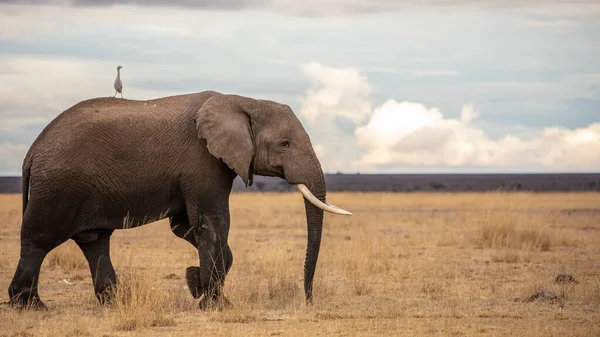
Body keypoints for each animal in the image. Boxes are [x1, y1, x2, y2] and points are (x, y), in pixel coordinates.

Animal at [7, 90, 352, 310]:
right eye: (284, 144)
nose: (308, 299)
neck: (242, 100)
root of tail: (31, 151)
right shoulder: (203, 160)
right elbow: (212, 224)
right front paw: (215, 303)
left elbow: (186, 226)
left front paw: (196, 285)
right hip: (58, 187)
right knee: (39, 240)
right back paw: (31, 306)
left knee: (95, 241)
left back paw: (113, 303)